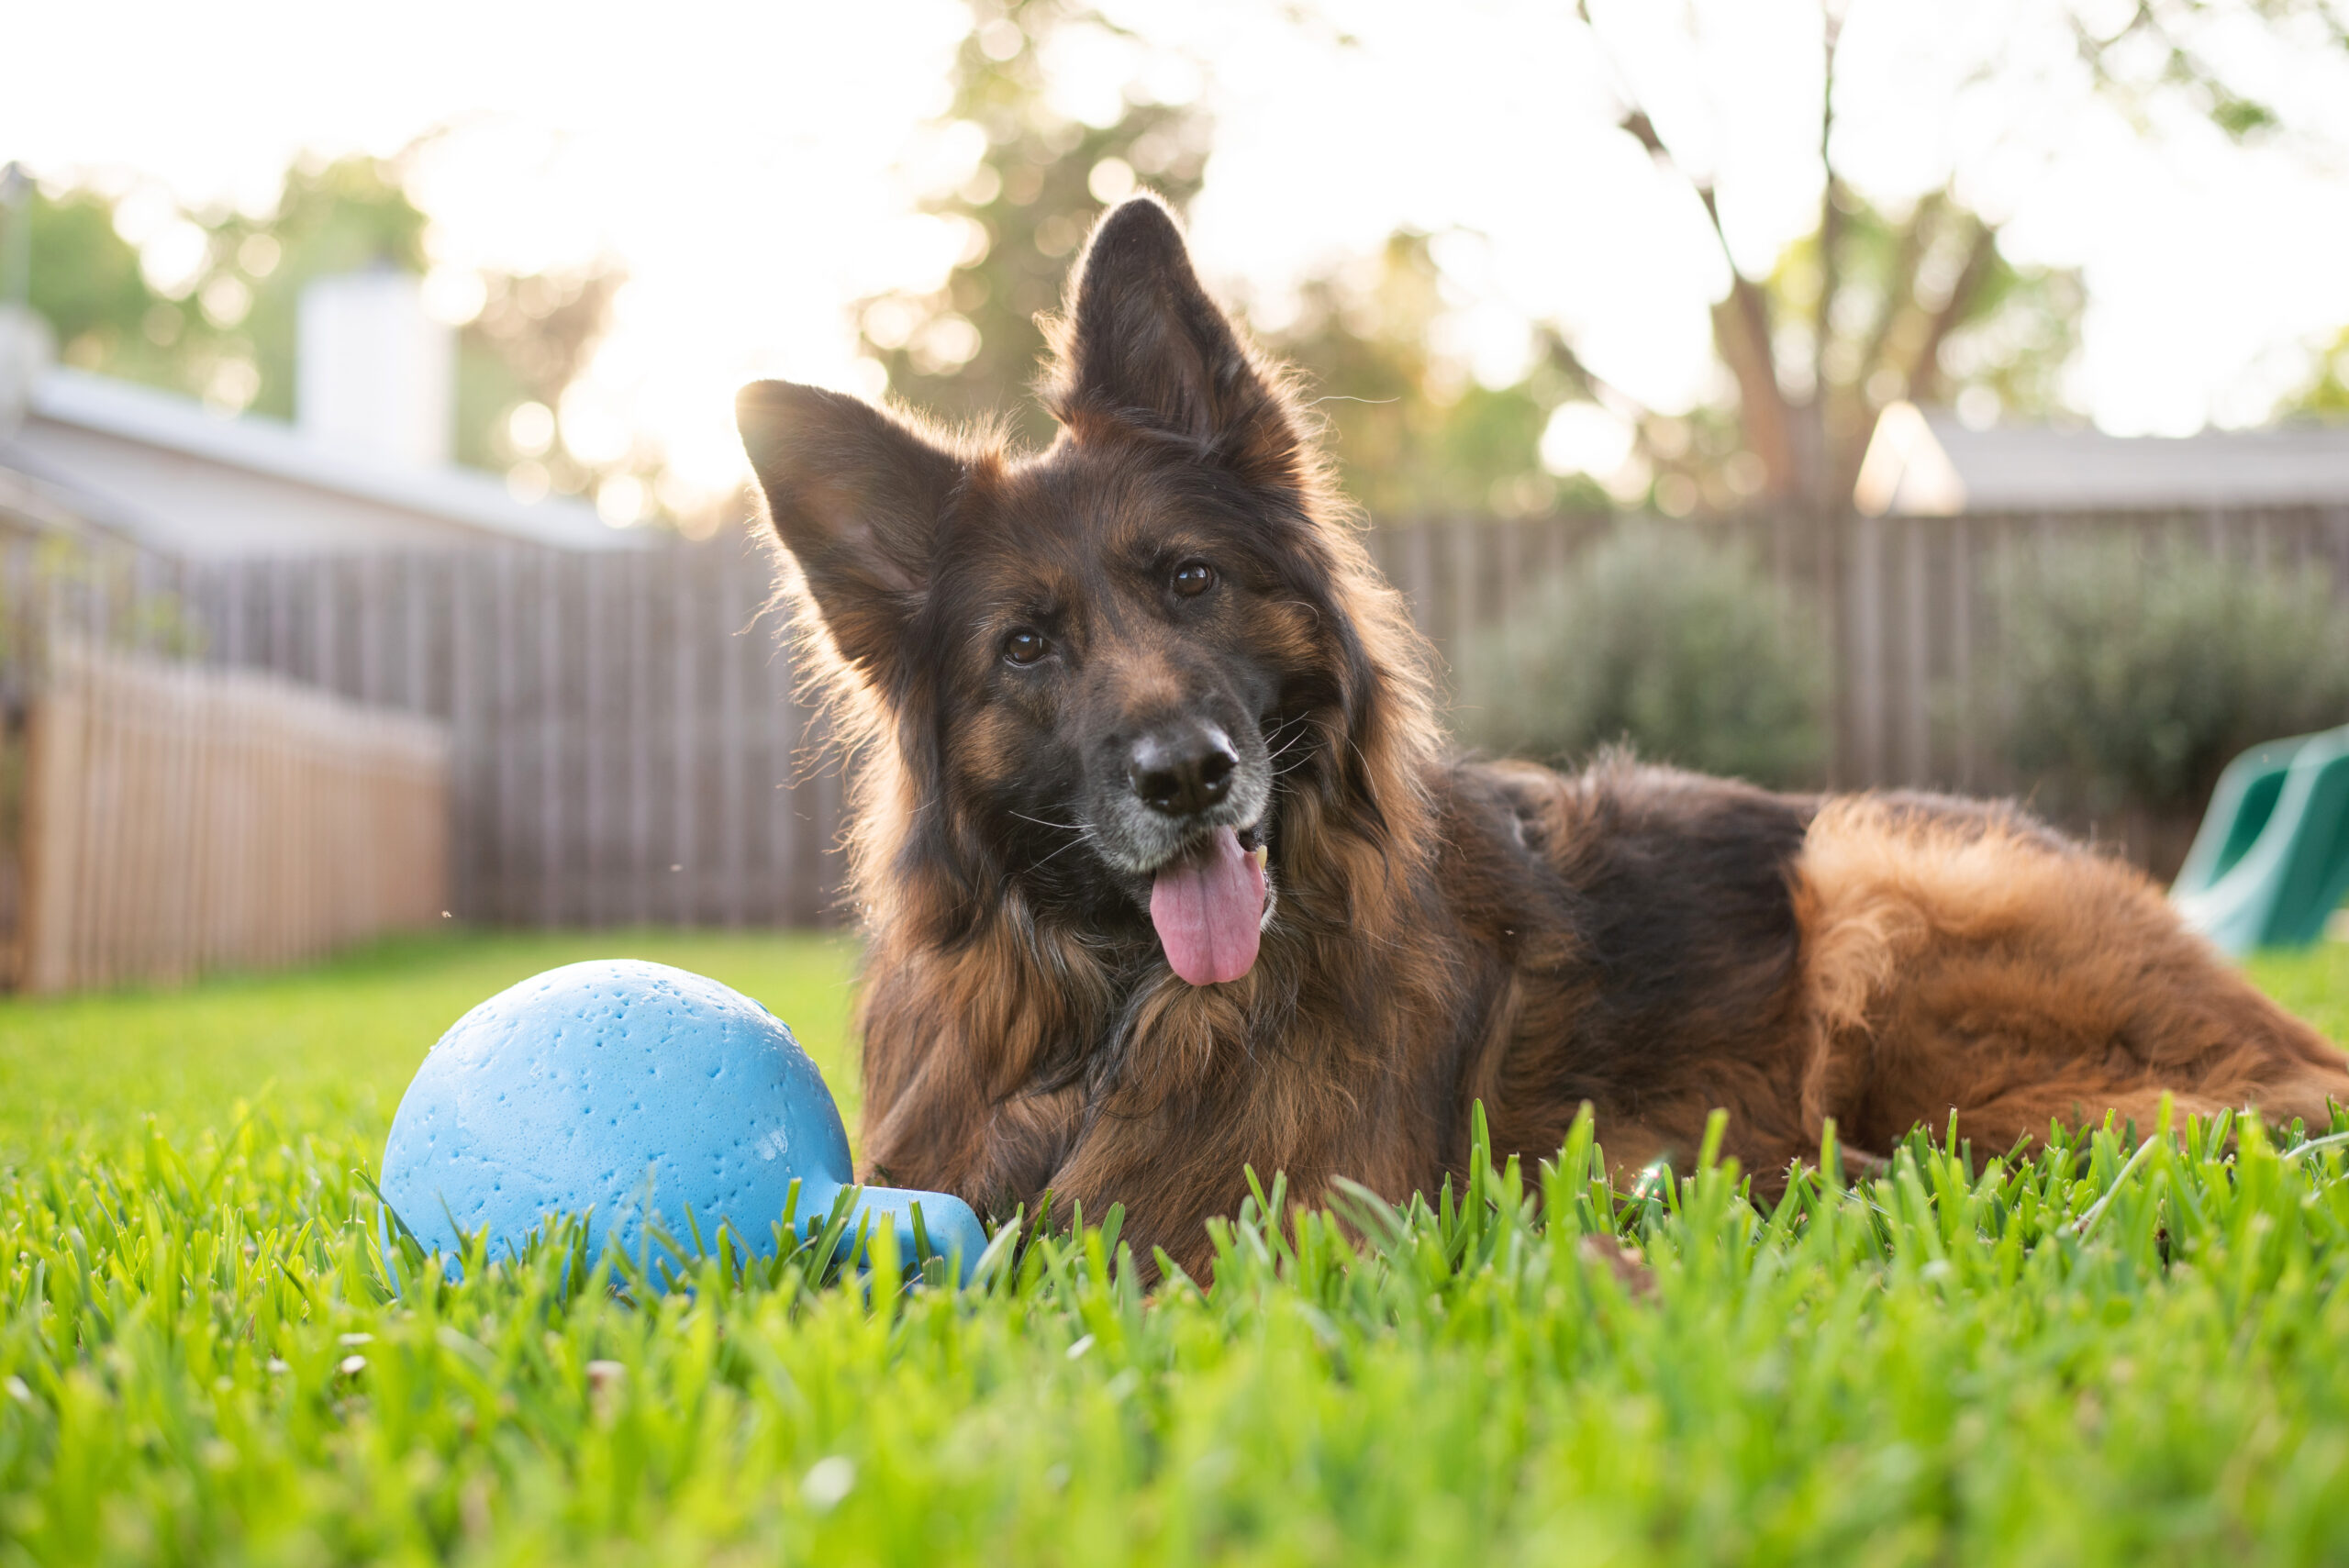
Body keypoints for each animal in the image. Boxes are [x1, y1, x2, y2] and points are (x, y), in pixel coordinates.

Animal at [737, 195, 2349, 1276]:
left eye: (1189, 580)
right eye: (1027, 647)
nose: (1190, 777)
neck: (1122, 1013)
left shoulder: (1295, 1219)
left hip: (1879, 883)